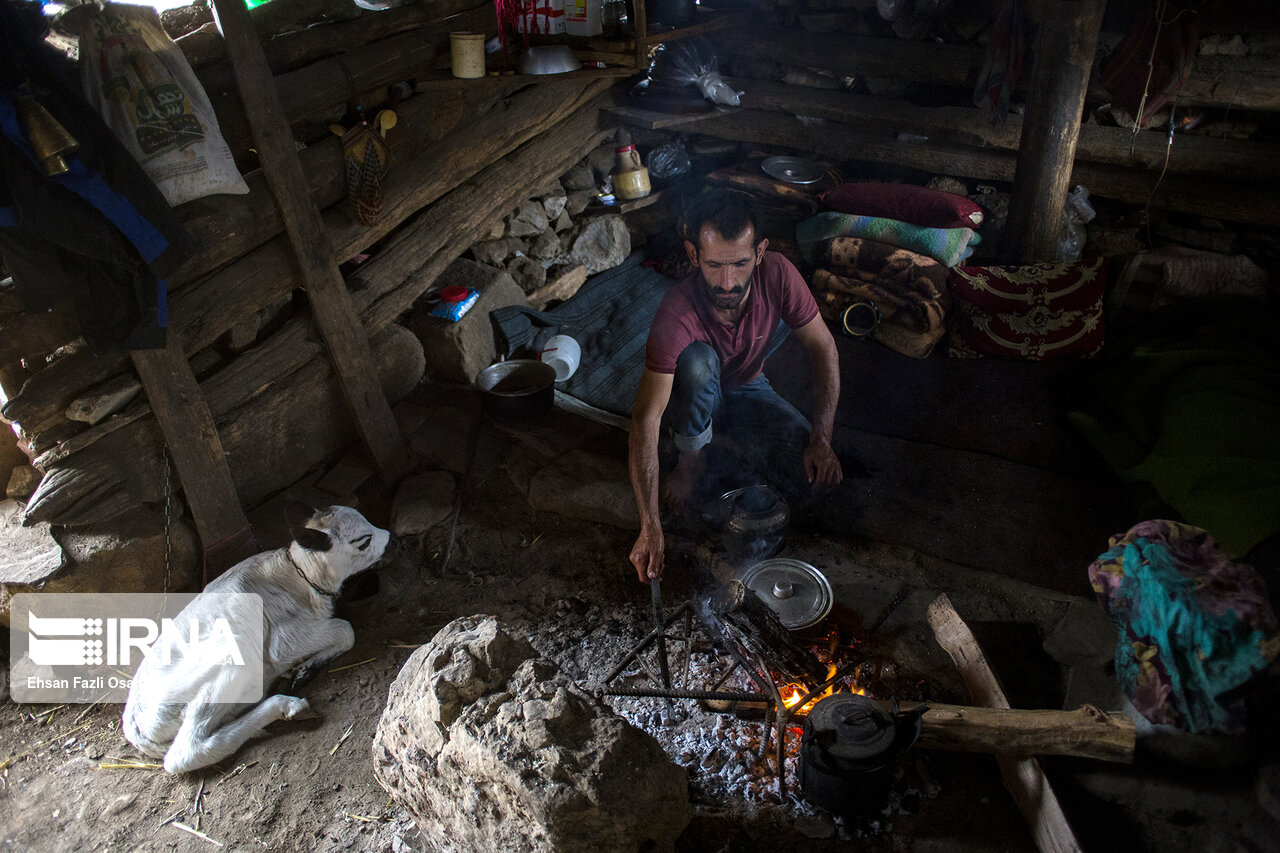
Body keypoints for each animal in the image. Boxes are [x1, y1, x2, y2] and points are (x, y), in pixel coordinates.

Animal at [122, 499, 386, 768]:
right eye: (363, 541)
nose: (390, 538)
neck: (300, 580)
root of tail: (133, 719)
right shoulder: (284, 641)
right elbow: (345, 630)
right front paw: (303, 671)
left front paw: (302, 669)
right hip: (229, 655)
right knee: (185, 753)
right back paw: (287, 706)